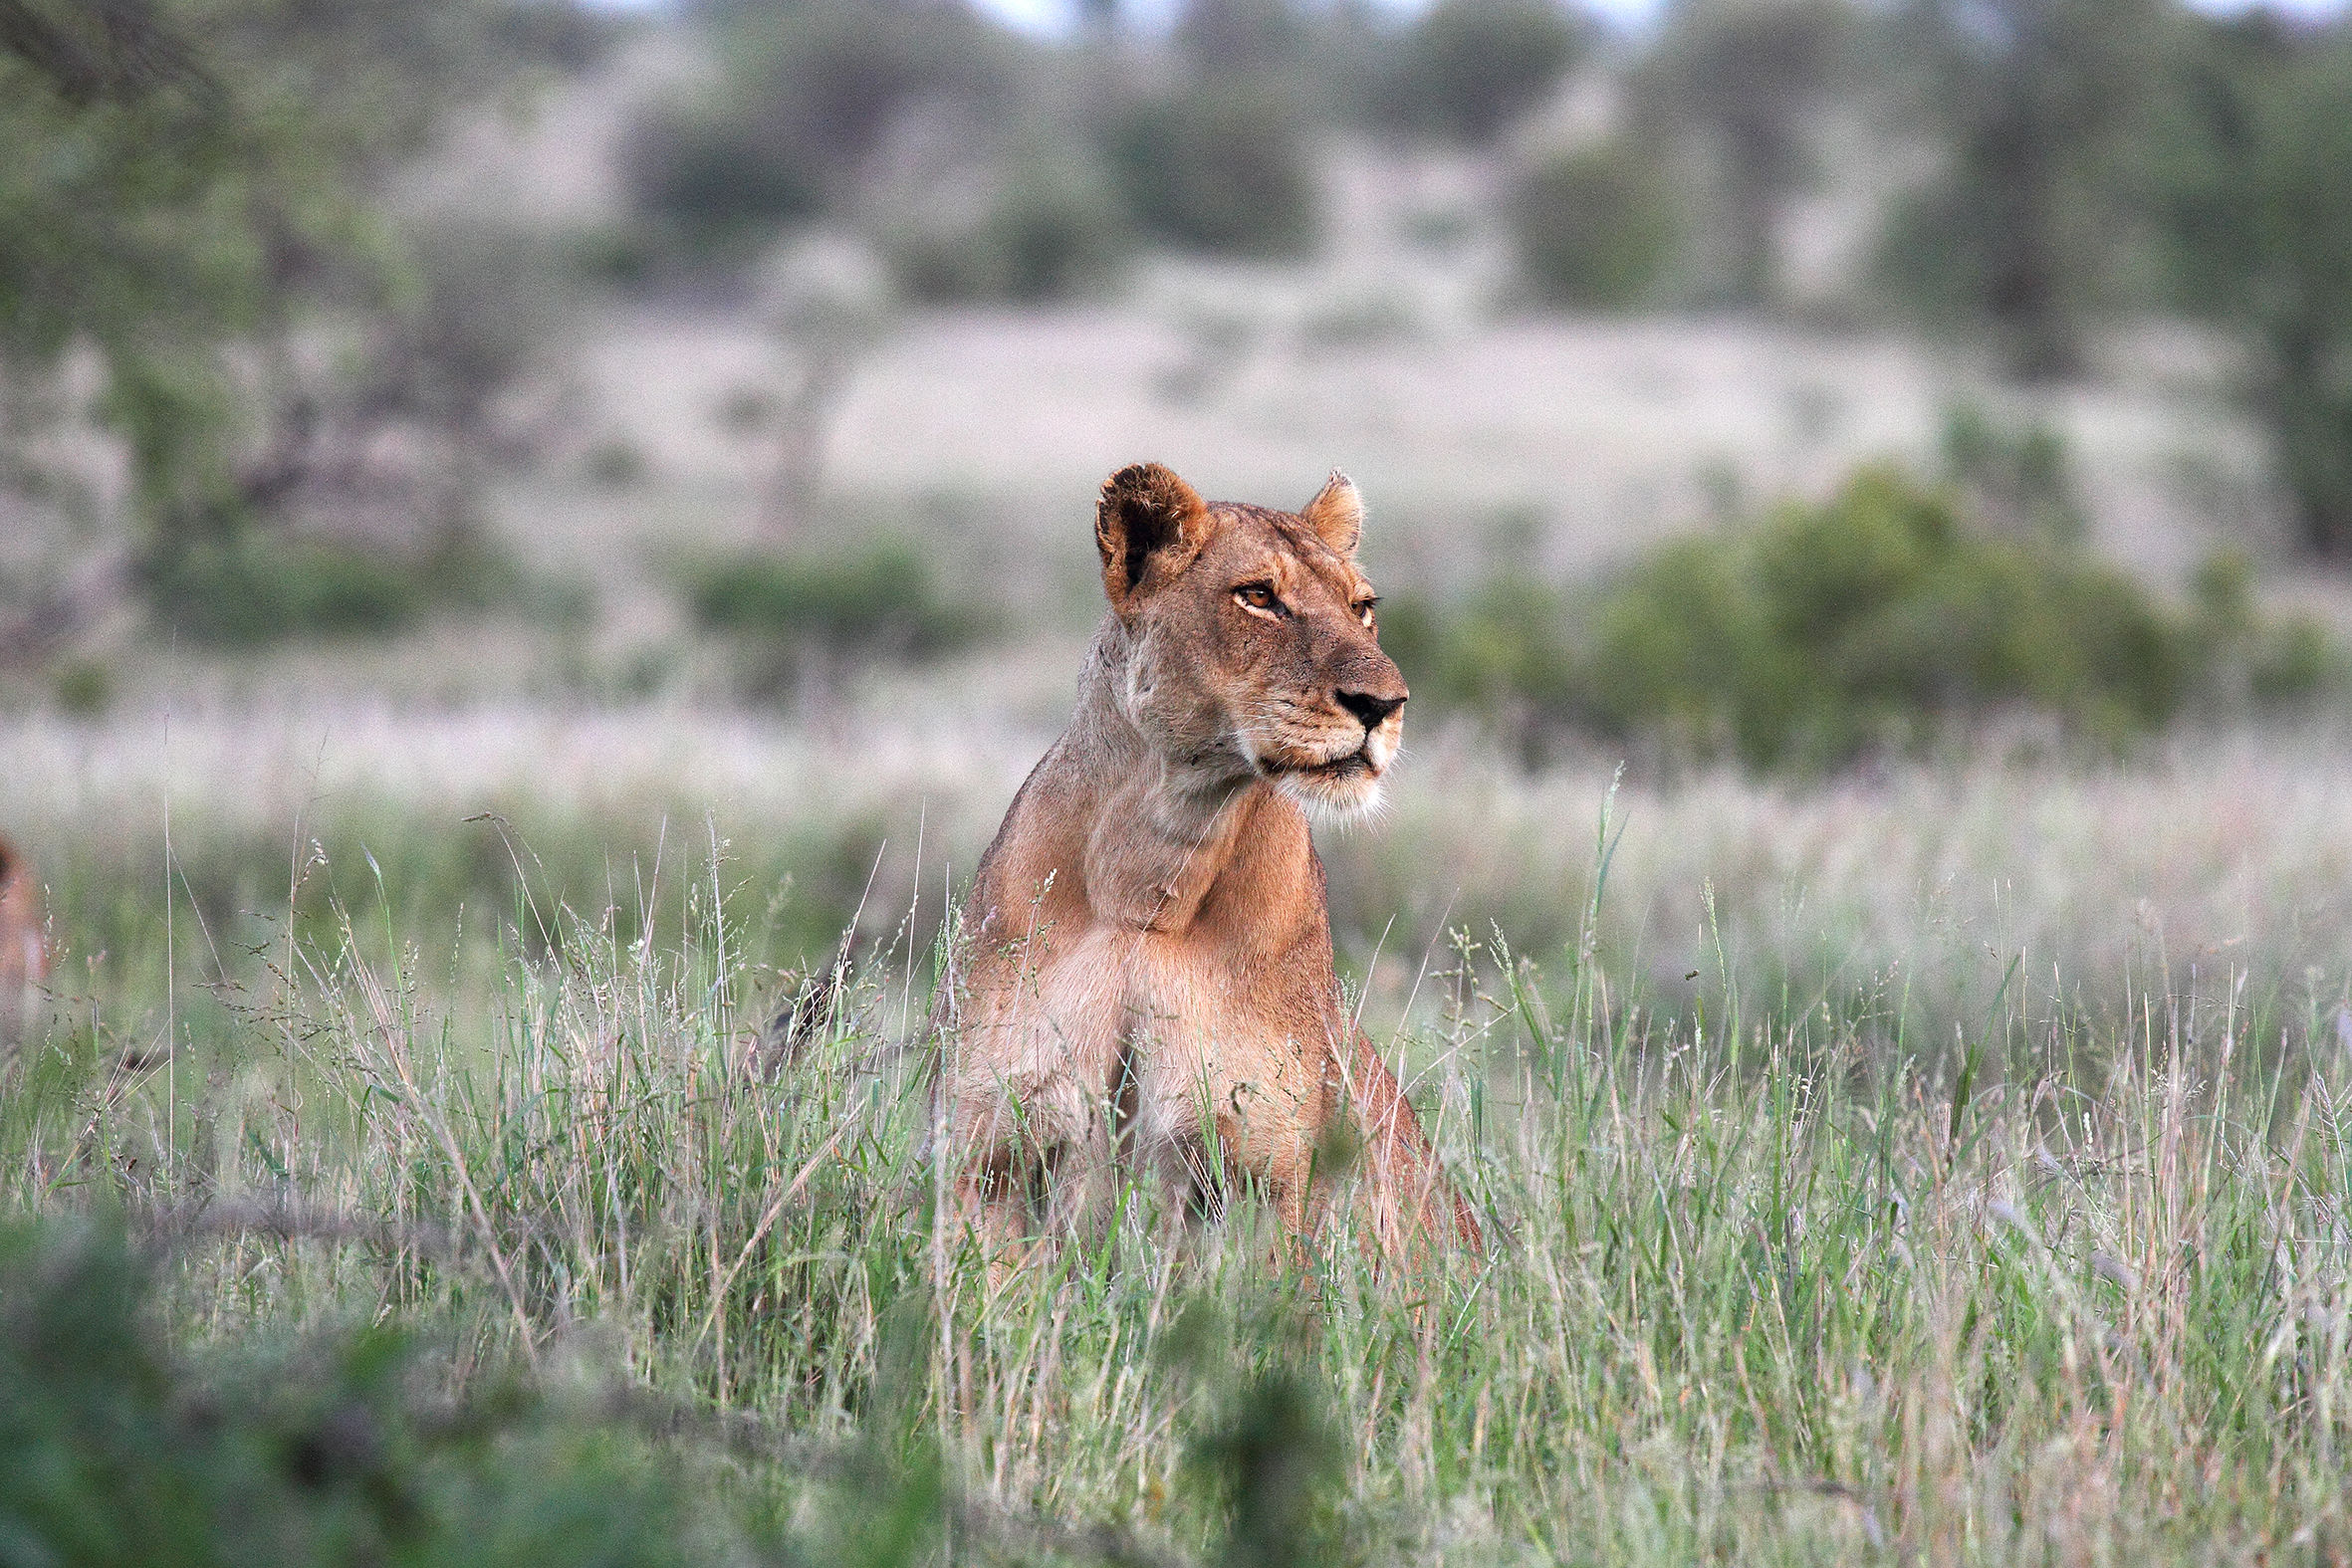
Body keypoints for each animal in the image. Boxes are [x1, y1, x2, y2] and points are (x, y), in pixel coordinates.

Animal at [941, 461, 1482, 1276]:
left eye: (1362, 607)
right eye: (1257, 596)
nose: (1383, 705)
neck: (1152, 869)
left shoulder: (1261, 1174)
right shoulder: (991, 1156)